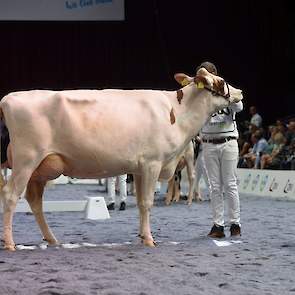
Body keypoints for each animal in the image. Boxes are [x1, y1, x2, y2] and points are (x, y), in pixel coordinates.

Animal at [0, 68, 243, 251]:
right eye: (222, 81)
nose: (240, 92)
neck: (177, 112)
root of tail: (9, 98)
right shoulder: (153, 163)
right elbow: (147, 202)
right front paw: (149, 239)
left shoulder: (139, 168)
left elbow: (141, 204)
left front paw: (142, 235)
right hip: (26, 160)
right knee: (10, 195)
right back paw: (10, 243)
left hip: (40, 168)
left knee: (34, 201)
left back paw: (51, 239)